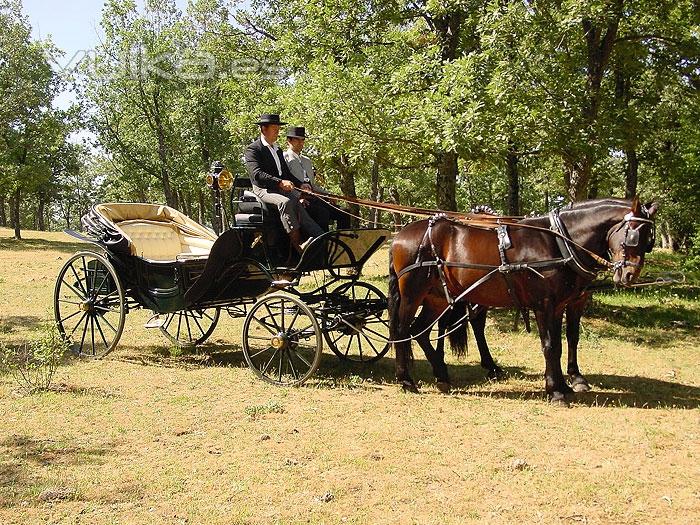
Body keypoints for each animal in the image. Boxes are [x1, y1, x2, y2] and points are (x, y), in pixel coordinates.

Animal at [388, 196, 656, 402]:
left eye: (649, 240)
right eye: (633, 236)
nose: (630, 275)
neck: (558, 242)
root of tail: (401, 234)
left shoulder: (560, 305)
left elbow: (561, 343)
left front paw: (564, 385)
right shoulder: (544, 304)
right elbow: (549, 345)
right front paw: (555, 391)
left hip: (437, 298)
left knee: (420, 331)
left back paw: (442, 375)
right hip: (412, 294)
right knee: (402, 330)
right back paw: (406, 380)